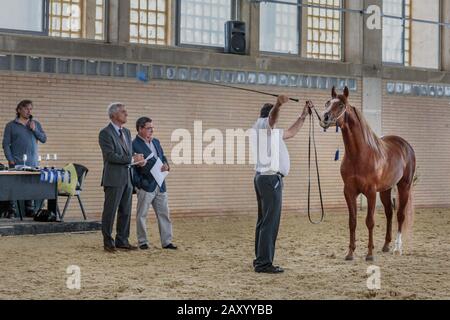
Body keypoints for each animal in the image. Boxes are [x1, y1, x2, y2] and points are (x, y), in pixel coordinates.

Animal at [318, 86, 416, 262]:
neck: (359, 154)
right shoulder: (349, 191)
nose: (325, 117)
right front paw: (350, 253)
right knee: (389, 213)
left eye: (341, 105)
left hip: (404, 186)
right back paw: (385, 246)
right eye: (327, 102)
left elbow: (369, 221)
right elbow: (352, 221)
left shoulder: (370, 192)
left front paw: (369, 254)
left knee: (400, 215)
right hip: (385, 190)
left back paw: (397, 248)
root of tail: (406, 145)